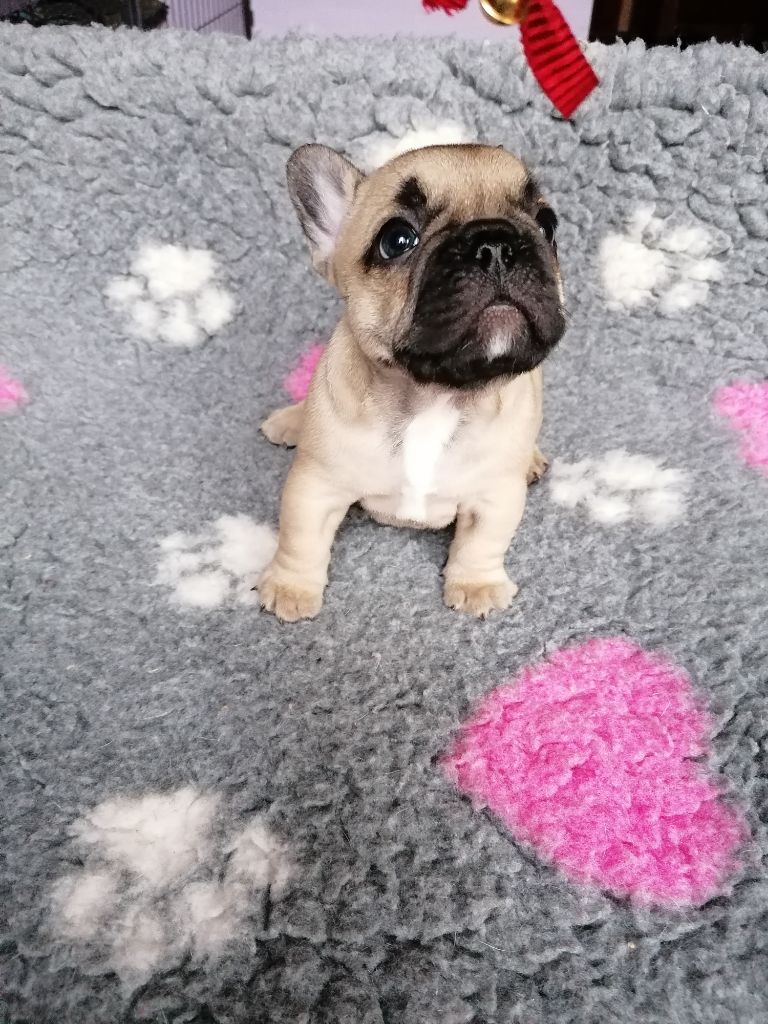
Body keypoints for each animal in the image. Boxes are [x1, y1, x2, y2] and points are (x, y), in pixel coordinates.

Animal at [259, 143, 566, 622]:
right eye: (396, 240)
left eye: (547, 225)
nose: (496, 244)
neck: (433, 396)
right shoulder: (315, 484)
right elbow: (300, 537)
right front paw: (290, 588)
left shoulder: (496, 494)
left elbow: (484, 541)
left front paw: (477, 585)